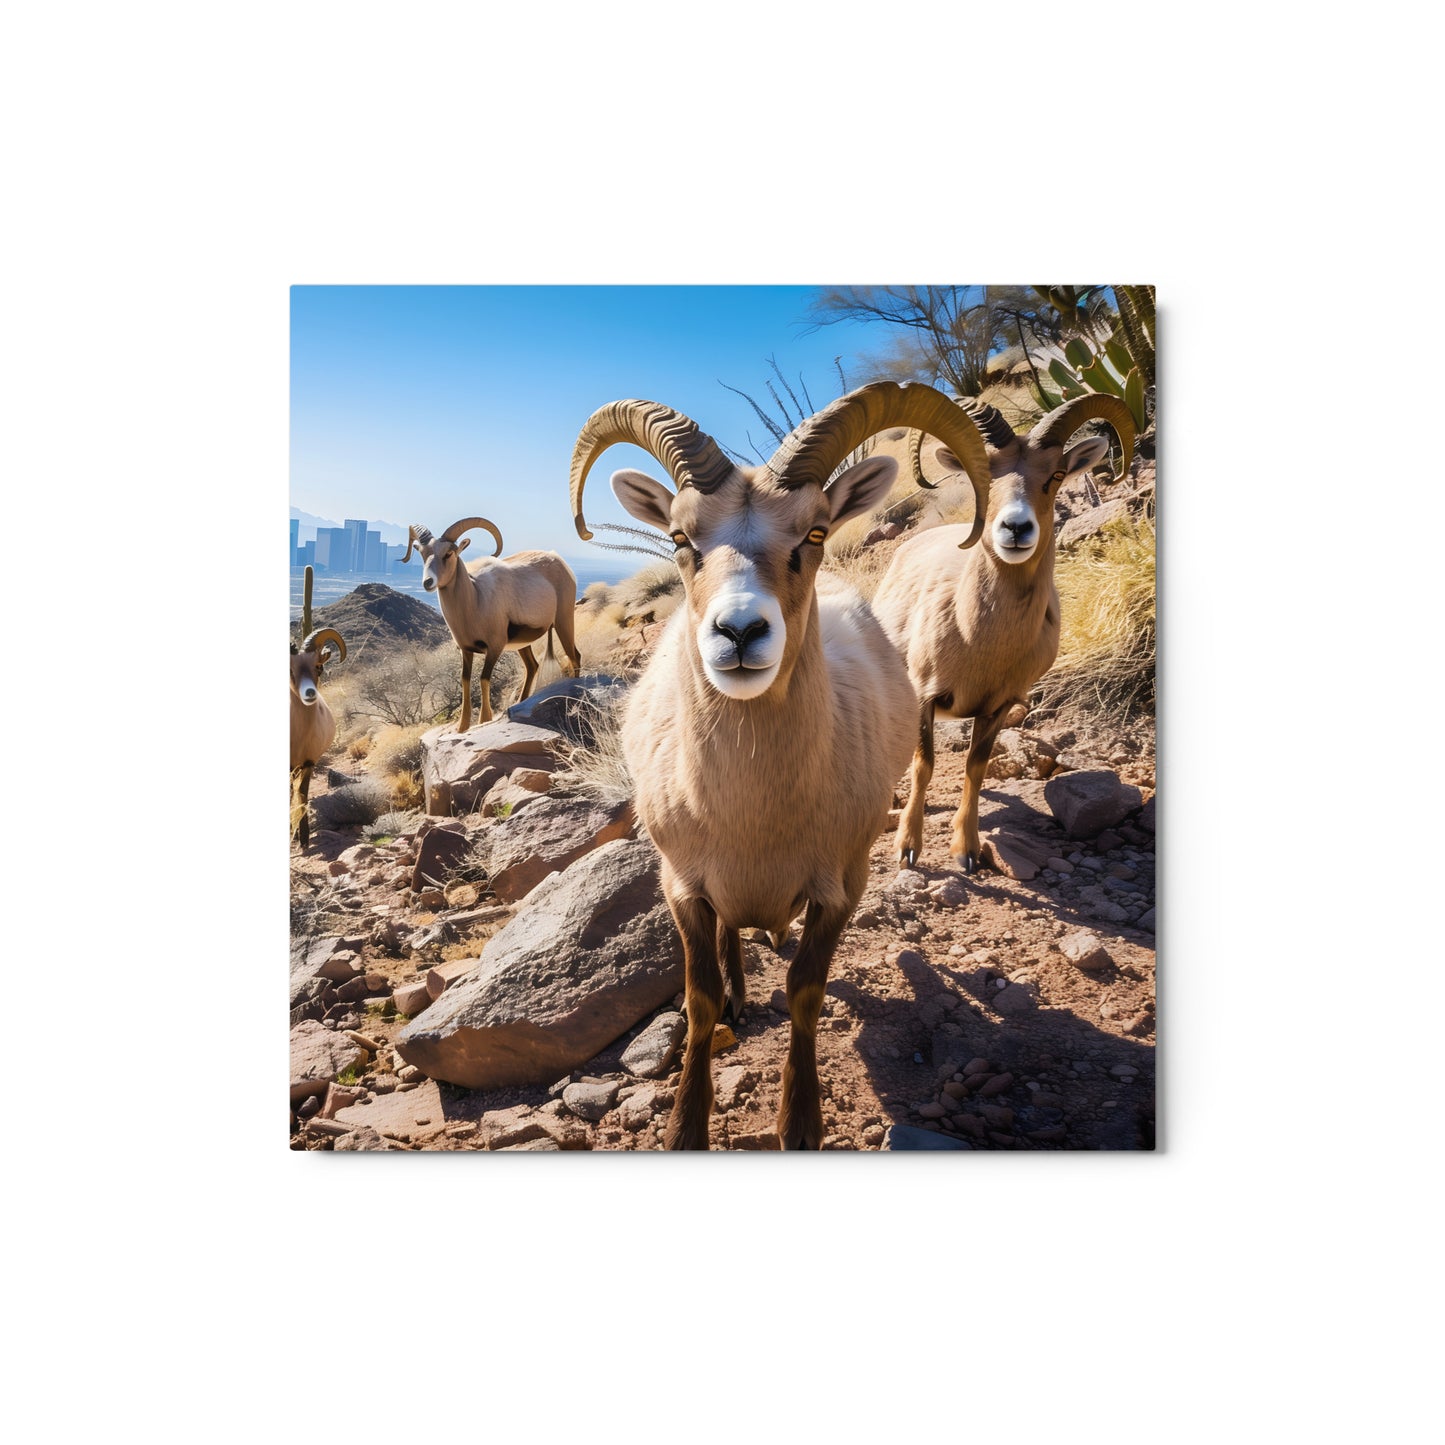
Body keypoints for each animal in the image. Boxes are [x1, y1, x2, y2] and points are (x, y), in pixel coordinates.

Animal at [287, 624, 346, 843]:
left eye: (318, 667)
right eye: (290, 670)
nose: (310, 693)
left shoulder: (308, 764)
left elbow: (302, 796)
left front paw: (303, 840)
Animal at [401, 517, 580, 734]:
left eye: (448, 553)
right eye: (423, 553)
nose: (428, 582)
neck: (476, 597)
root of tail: (559, 561)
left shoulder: (494, 648)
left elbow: (483, 679)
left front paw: (483, 720)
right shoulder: (466, 651)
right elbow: (465, 680)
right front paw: (462, 727)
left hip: (564, 622)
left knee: (574, 656)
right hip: (524, 644)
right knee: (532, 666)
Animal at [563, 378, 994, 1144]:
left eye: (814, 533)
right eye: (680, 537)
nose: (739, 631)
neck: (755, 816)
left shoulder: (840, 888)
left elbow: (805, 992)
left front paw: (800, 1123)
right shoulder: (682, 887)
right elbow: (700, 999)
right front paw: (686, 1127)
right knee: (732, 936)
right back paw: (742, 990)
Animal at [867, 393, 1138, 867]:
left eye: (1056, 475)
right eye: (984, 476)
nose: (1015, 528)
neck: (979, 640)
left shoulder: (998, 707)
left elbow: (975, 768)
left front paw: (967, 851)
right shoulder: (923, 696)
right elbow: (924, 765)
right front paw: (908, 849)